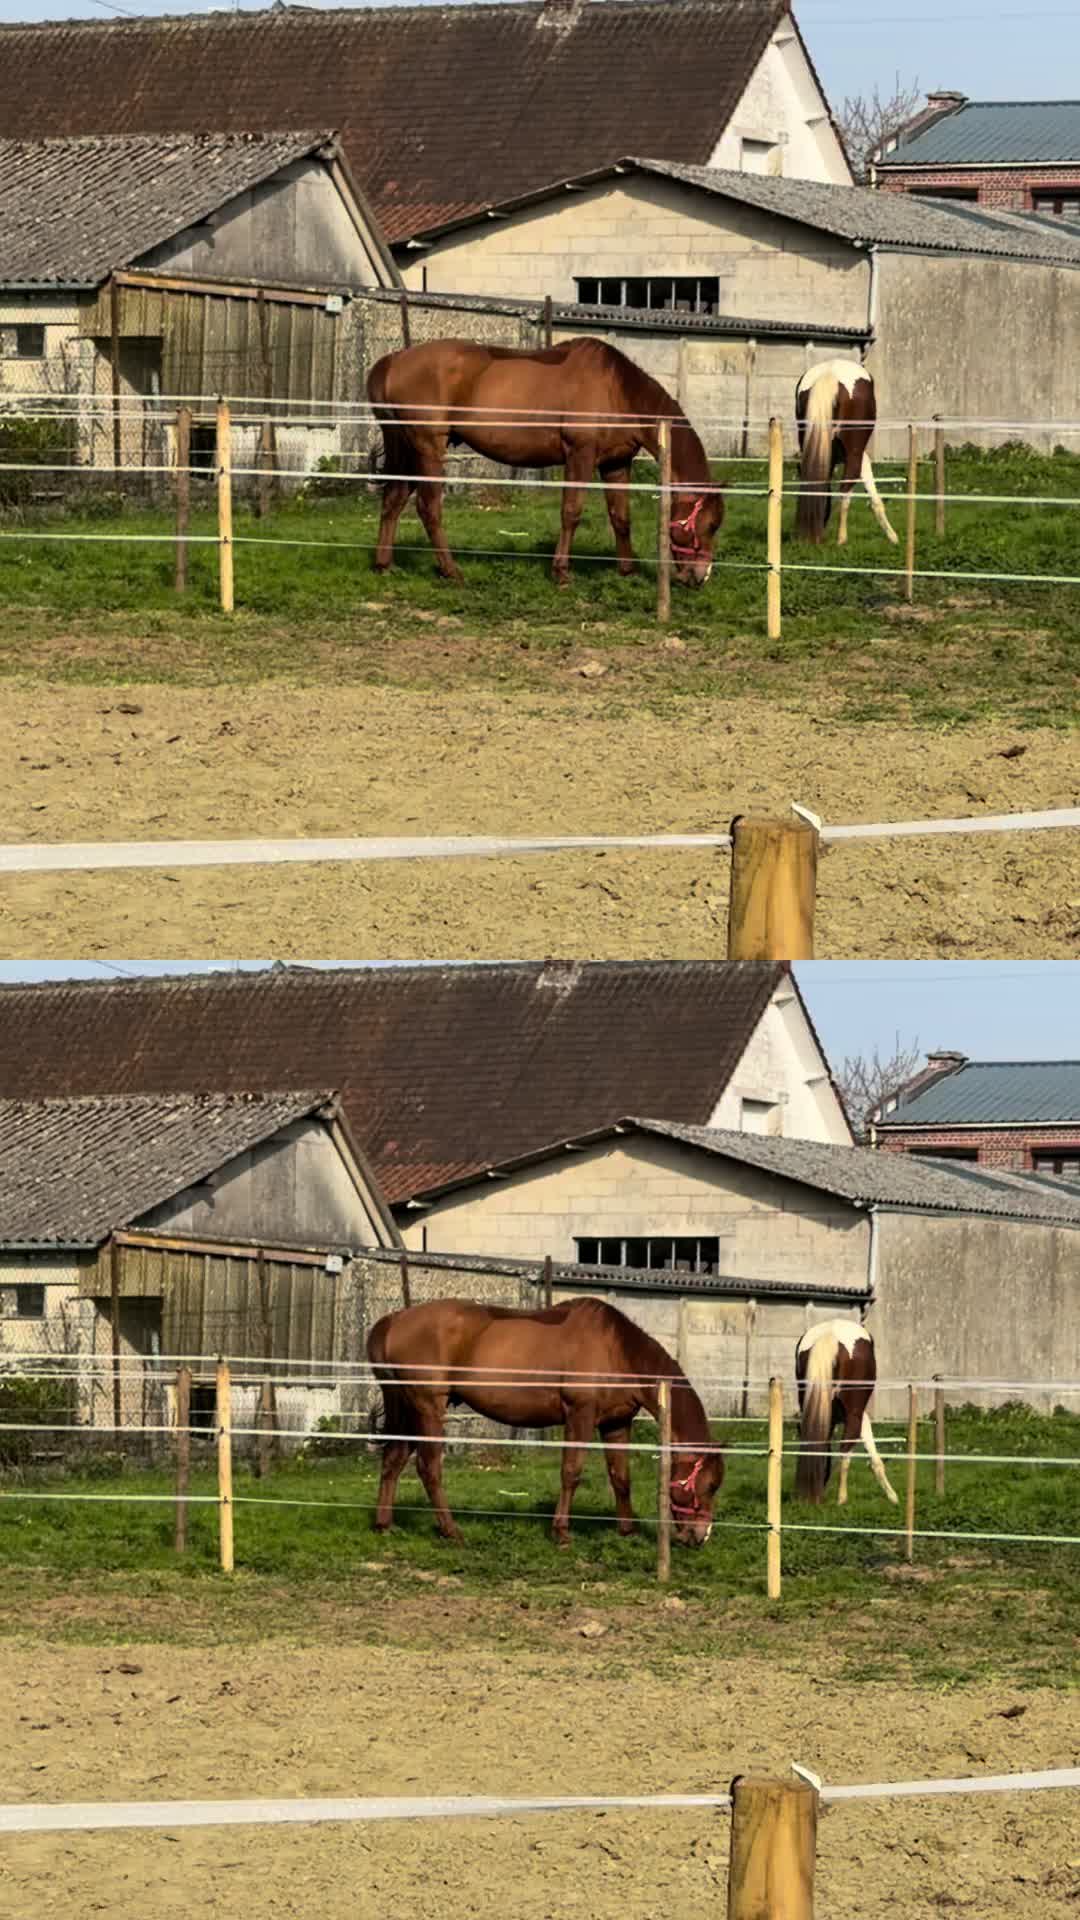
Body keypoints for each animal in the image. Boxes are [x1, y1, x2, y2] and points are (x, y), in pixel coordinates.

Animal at [366, 336, 724, 588]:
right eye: (709, 525)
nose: (700, 577)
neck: (617, 391)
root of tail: (395, 359)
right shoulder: (580, 456)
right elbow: (571, 513)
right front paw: (561, 572)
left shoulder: (616, 464)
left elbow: (621, 517)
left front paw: (628, 570)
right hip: (428, 449)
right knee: (428, 508)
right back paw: (451, 571)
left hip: (409, 450)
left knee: (394, 499)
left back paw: (385, 565)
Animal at [366, 1294, 724, 1547]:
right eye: (709, 1484)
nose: (700, 1537)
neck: (617, 1351)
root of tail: (395, 1319)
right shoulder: (580, 1415)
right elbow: (571, 1472)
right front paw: (561, 1532)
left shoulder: (616, 1424)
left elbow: (621, 1478)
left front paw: (628, 1531)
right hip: (428, 1409)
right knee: (428, 1469)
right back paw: (451, 1531)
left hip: (410, 1411)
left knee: (394, 1460)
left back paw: (385, 1525)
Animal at [794, 359, 899, 548]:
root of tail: (830, 372)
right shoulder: (860, 456)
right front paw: (893, 537)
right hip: (854, 453)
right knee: (846, 487)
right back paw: (841, 538)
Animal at [794, 1318, 899, 1507]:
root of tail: (831, 1333)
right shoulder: (859, 1416)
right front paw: (893, 1497)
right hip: (854, 1414)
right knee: (846, 1450)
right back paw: (841, 1498)